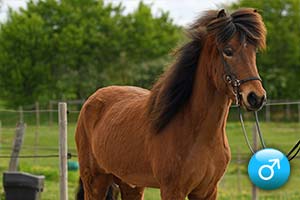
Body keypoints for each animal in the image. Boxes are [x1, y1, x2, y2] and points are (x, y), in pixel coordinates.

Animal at [75, 8, 268, 200]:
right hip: (95, 181)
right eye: (228, 51)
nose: (256, 97)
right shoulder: (172, 190)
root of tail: (91, 101)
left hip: (130, 184)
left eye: (254, 52)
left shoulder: (207, 191)